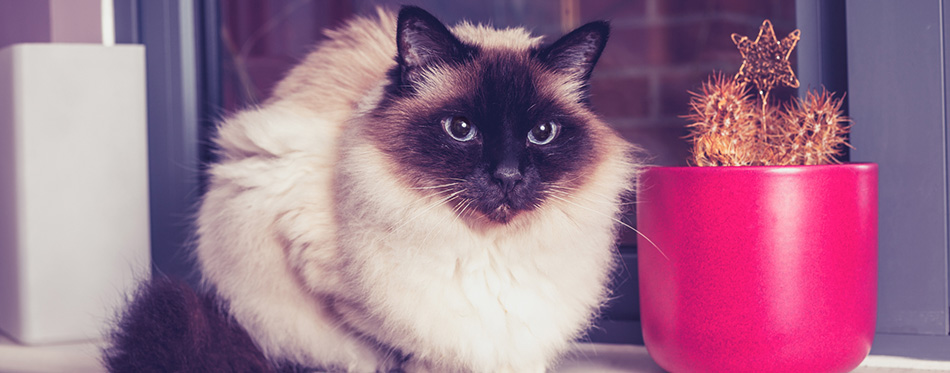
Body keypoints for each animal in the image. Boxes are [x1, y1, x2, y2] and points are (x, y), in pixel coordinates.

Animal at [104, 5, 644, 372]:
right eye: (461, 129)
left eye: (542, 134)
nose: (508, 175)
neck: (485, 248)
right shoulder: (333, 285)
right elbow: (405, 350)